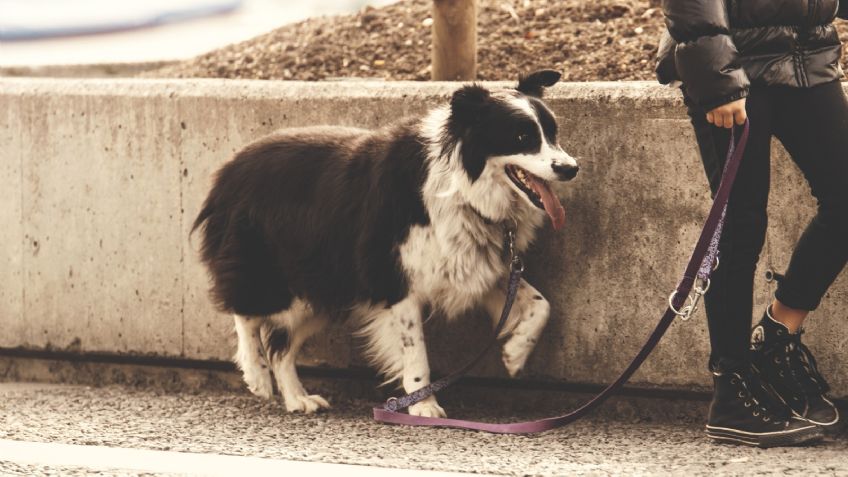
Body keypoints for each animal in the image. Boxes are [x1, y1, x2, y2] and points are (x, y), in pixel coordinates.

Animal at [191, 70, 576, 416]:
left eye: (553, 133)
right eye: (521, 136)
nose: (571, 168)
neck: (463, 187)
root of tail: (226, 171)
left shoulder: (474, 264)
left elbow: (541, 304)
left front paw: (514, 354)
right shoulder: (395, 277)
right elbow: (415, 350)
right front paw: (424, 407)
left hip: (323, 285)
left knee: (281, 347)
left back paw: (298, 398)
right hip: (272, 268)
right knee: (245, 312)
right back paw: (256, 375)